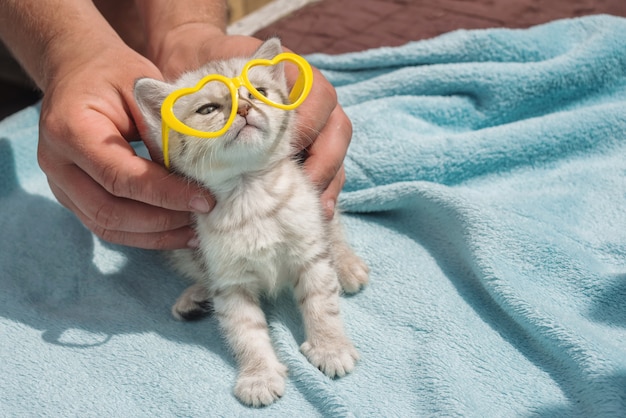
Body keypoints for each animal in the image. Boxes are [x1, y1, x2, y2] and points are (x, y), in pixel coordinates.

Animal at [134, 38, 368, 404]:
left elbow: (321, 302)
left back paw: (347, 265)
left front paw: (330, 347)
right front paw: (259, 375)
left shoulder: (309, 251)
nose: (244, 108)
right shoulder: (231, 282)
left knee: (333, 225)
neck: (251, 194)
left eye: (258, 91)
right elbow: (245, 332)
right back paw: (195, 298)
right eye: (208, 110)